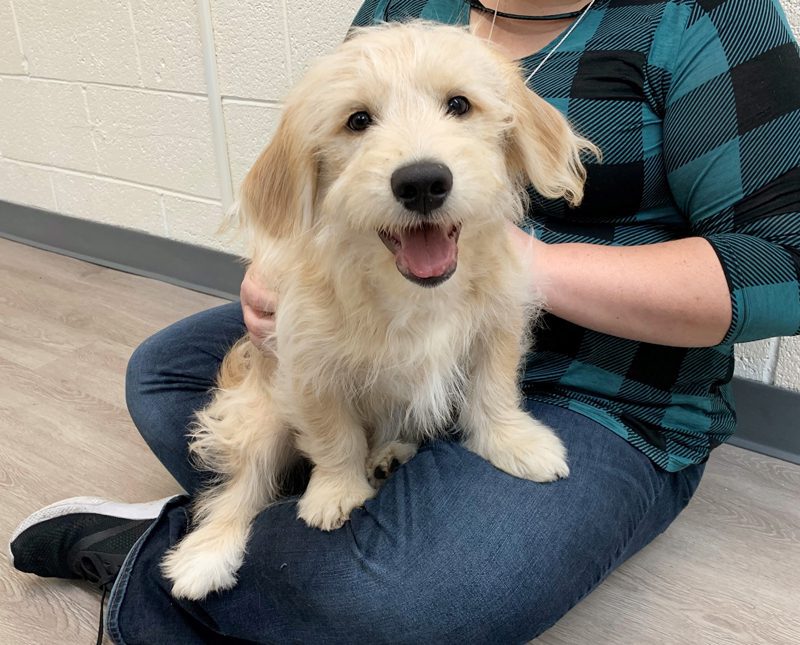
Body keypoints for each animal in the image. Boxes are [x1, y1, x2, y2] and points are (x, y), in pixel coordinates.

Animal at [162, 22, 596, 600]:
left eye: (459, 104)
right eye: (358, 120)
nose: (422, 182)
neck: (412, 291)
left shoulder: (495, 326)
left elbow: (494, 393)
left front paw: (514, 442)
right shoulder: (310, 369)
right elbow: (333, 435)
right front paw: (337, 491)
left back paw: (389, 454)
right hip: (261, 416)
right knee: (242, 486)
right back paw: (207, 553)